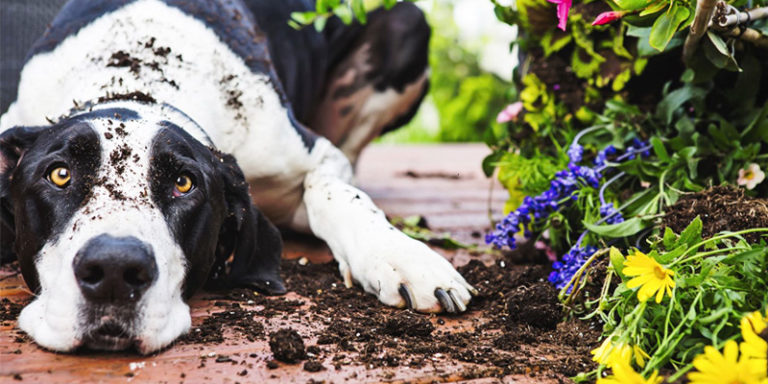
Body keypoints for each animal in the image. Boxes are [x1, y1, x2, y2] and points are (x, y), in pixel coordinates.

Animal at [0, 0, 474, 354]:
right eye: (60, 174)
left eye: (184, 183)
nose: (115, 270)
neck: (136, 81)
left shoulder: (315, 156)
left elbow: (336, 195)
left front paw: (402, 257)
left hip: (406, 24)